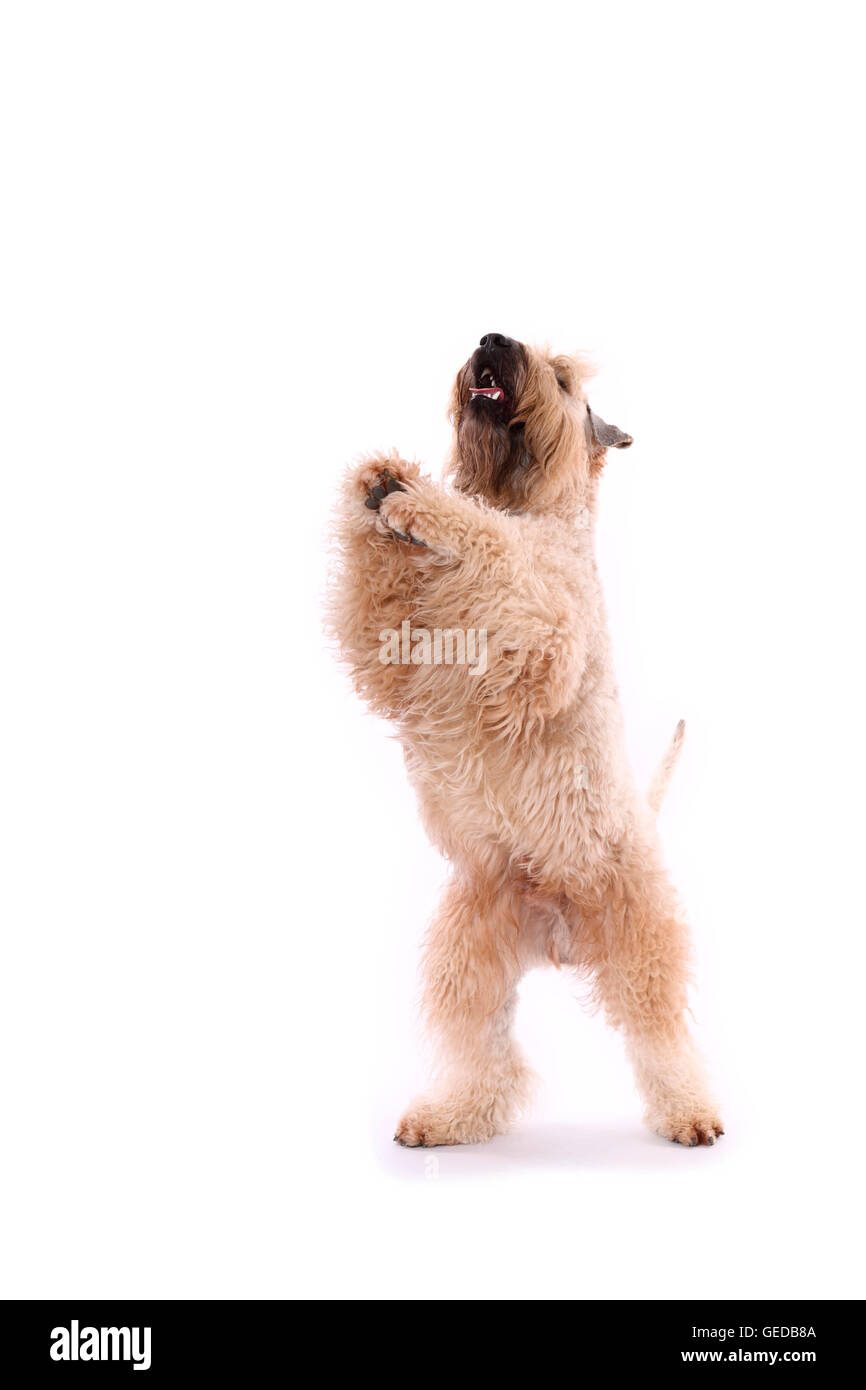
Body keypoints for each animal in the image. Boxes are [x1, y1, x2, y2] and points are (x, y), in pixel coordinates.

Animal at [328, 330, 722, 1145]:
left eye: (564, 378)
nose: (492, 339)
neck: (532, 505)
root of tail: (561, 932)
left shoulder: (540, 623)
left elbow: (494, 543)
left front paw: (423, 502)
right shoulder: (399, 652)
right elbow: (373, 595)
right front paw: (376, 479)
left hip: (642, 941)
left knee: (664, 1039)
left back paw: (691, 1114)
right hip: (468, 951)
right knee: (488, 1058)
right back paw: (447, 1116)